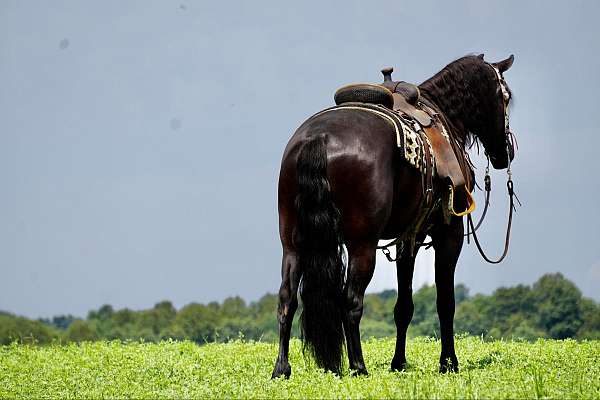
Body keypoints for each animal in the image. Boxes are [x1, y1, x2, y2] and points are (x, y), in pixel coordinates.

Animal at [272, 54, 516, 378]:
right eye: (506, 97)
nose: (506, 152)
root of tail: (319, 138)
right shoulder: (447, 234)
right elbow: (445, 302)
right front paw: (448, 362)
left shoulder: (407, 238)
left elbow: (404, 306)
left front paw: (398, 362)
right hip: (361, 244)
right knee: (350, 300)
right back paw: (358, 367)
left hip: (294, 243)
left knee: (287, 298)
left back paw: (281, 368)